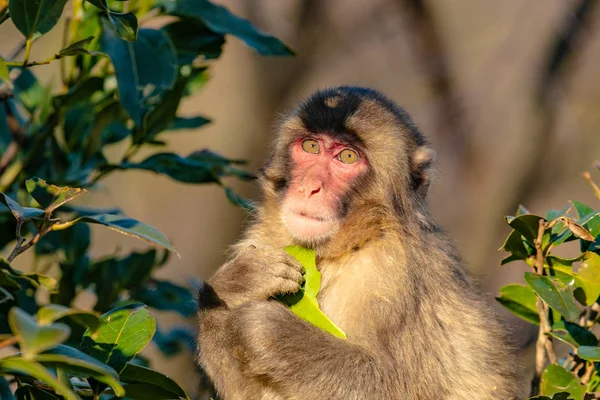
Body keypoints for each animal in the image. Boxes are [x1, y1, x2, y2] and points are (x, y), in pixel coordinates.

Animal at [196, 86, 520, 400]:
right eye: (311, 146)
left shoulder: (389, 273)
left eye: (347, 157)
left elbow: (401, 387)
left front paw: (265, 328)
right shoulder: (261, 241)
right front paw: (238, 283)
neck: (343, 245)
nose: (309, 187)